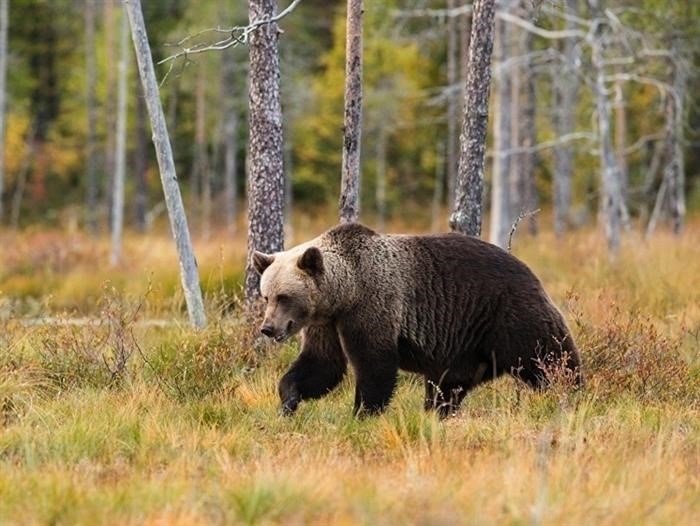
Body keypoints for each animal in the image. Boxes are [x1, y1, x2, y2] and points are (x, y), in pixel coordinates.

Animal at [254, 222, 584, 416]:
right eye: (266, 296)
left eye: (284, 297)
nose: (268, 328)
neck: (344, 293)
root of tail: (530, 270)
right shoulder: (326, 324)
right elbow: (322, 365)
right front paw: (288, 400)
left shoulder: (373, 305)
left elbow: (375, 364)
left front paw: (363, 413)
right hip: (464, 346)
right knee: (447, 386)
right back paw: (438, 412)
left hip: (509, 314)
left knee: (550, 356)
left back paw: (571, 393)